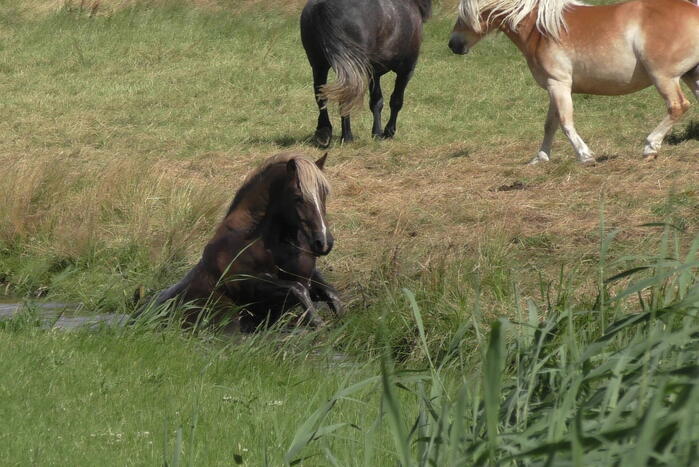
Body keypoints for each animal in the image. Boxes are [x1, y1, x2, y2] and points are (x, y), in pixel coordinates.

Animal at [152, 153, 341, 331]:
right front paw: (319, 324)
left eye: (324, 194)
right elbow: (296, 289)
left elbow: (331, 293)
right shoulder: (250, 284)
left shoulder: (308, 276)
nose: (324, 242)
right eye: (297, 197)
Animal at [301, 0, 432, 147]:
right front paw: (387, 132)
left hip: (319, 65)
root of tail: (324, 5)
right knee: (345, 96)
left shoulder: (373, 73)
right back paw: (347, 137)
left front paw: (377, 133)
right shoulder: (406, 70)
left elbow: (376, 101)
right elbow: (396, 101)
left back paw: (324, 133)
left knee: (321, 95)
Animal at [448, 0, 699, 164]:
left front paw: (585, 156)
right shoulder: (553, 86)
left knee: (677, 106)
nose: (453, 45)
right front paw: (540, 158)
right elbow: (550, 124)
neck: (540, 30)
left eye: (463, 14)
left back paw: (649, 148)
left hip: (664, 77)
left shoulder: (559, 84)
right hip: (691, 75)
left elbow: (565, 122)